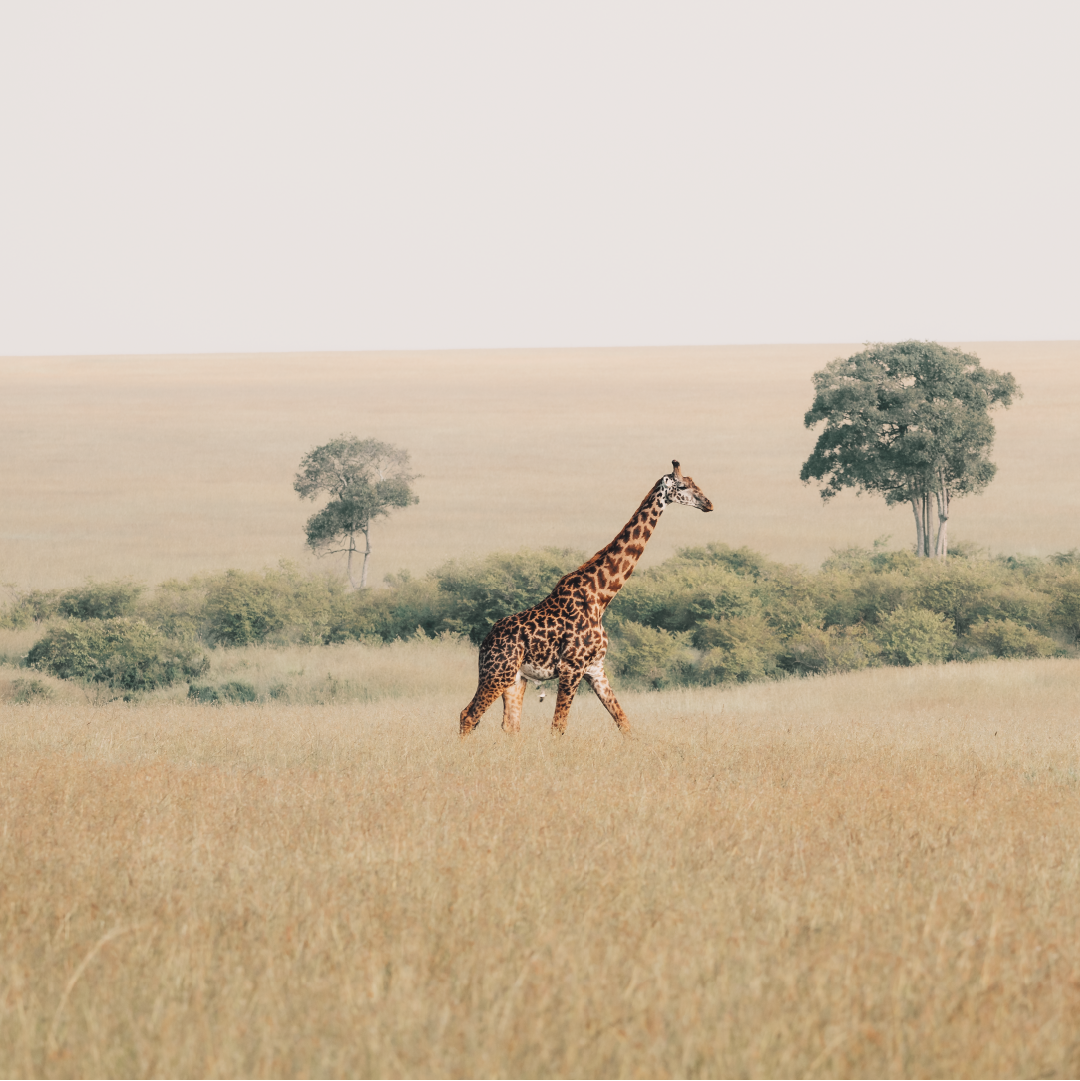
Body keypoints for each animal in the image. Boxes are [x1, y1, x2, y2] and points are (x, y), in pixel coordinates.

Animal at [458, 460, 717, 739]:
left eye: (695, 482)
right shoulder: (571, 667)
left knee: (509, 725)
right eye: (683, 486)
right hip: (498, 672)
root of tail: (485, 642)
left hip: (516, 678)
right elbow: (558, 726)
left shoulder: (596, 669)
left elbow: (624, 723)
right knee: (469, 715)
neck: (601, 596)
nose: (709, 504)